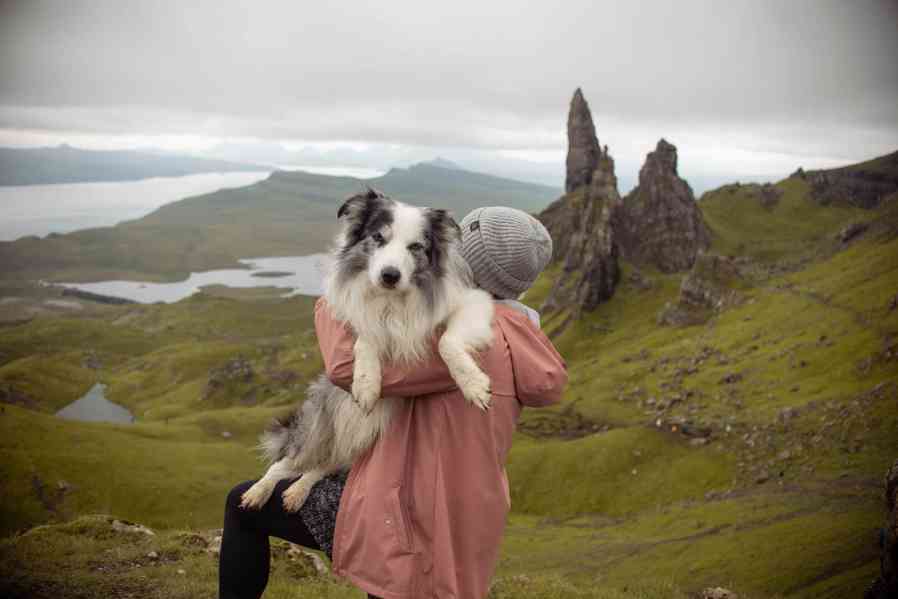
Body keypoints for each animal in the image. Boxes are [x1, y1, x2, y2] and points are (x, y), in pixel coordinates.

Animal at [238, 190, 494, 512]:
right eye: (378, 237)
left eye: (415, 247)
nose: (389, 275)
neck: (392, 301)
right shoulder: (358, 315)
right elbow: (367, 335)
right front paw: (366, 383)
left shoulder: (473, 303)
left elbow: (447, 342)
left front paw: (472, 385)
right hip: (318, 428)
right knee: (286, 462)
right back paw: (259, 491)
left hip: (358, 440)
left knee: (322, 466)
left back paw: (297, 491)